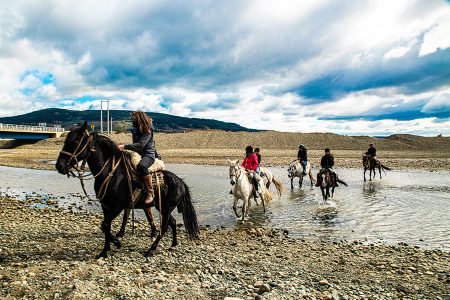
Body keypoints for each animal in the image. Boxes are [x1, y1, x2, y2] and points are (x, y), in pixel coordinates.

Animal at [55, 122, 199, 258]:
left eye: (75, 141)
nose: (59, 166)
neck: (112, 174)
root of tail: (180, 181)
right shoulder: (105, 206)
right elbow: (106, 226)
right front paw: (105, 251)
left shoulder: (118, 206)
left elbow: (105, 225)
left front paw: (117, 243)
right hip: (162, 207)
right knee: (172, 223)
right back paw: (173, 243)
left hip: (167, 207)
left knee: (164, 227)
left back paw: (151, 250)